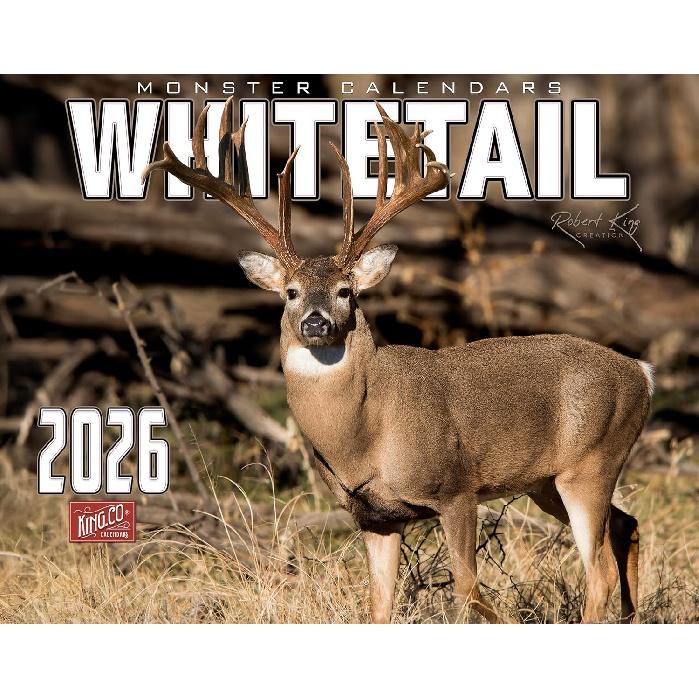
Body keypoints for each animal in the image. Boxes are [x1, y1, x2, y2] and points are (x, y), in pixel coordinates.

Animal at [144, 97, 652, 624]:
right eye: (291, 292)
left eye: (346, 291)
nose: (315, 323)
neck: (363, 435)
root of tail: (642, 373)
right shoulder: (374, 516)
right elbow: (379, 604)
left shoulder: (455, 488)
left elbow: (469, 589)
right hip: (546, 482)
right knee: (627, 524)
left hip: (591, 460)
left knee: (599, 571)